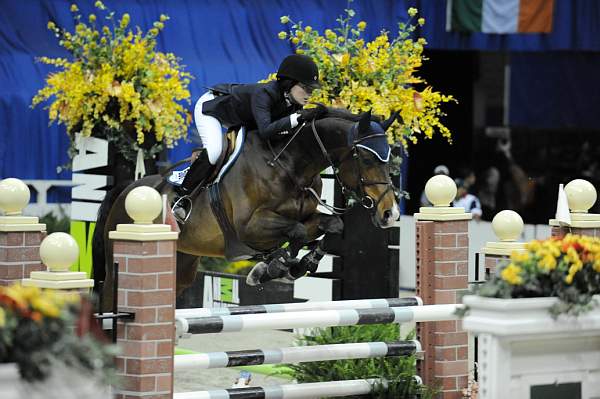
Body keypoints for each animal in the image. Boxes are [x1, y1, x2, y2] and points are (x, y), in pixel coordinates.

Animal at [92, 108, 398, 310]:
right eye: (367, 159)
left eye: (389, 157)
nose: (390, 214)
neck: (290, 164)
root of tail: (127, 189)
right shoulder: (249, 227)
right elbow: (297, 232)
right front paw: (274, 267)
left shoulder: (307, 217)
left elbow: (332, 225)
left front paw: (295, 266)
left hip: (182, 265)